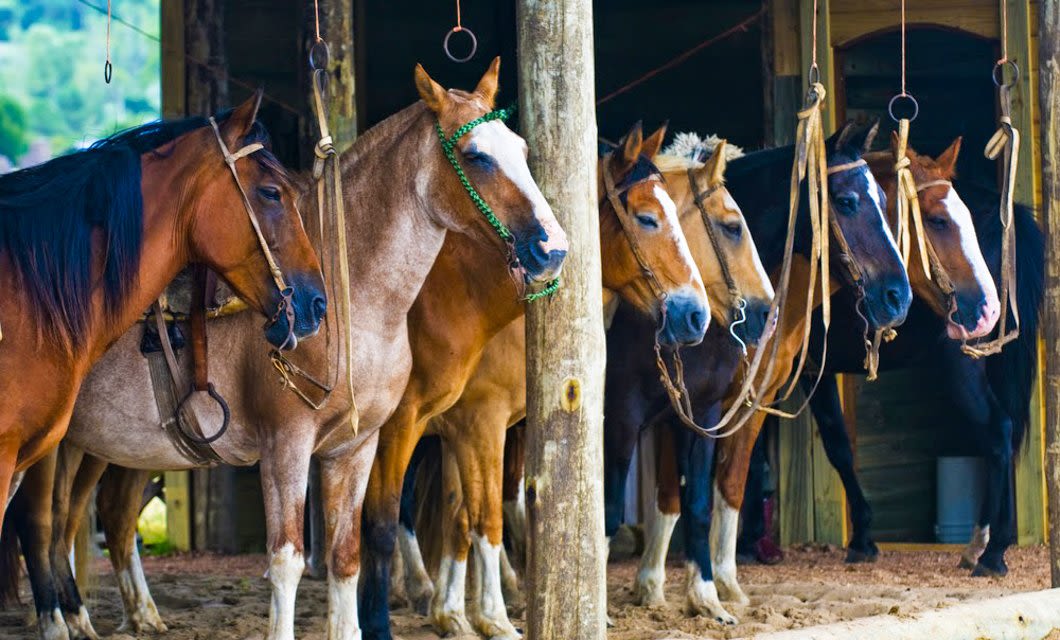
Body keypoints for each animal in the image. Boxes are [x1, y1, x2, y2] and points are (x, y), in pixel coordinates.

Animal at [1, 59, 568, 640]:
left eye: (522, 149)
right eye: (476, 155)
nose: (553, 249)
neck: (354, 302)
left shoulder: (356, 446)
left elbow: (347, 556)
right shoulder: (289, 446)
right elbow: (289, 559)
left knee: (81, 520)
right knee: (40, 525)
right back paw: (58, 621)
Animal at [397, 133, 772, 638]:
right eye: (732, 227)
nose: (766, 310)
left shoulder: (693, 415)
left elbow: (690, 503)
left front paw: (704, 599)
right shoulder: (611, 419)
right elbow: (599, 510)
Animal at [626, 135, 1004, 624]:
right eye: (937, 220)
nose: (988, 309)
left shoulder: (749, 400)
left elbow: (730, 484)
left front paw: (720, 583)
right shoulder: (686, 403)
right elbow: (676, 493)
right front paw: (657, 585)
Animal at [737, 176, 1042, 578]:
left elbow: (764, 448)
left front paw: (748, 540)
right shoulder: (809, 371)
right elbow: (836, 445)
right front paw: (863, 538)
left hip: (962, 362)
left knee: (998, 430)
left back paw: (992, 552)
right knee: (1005, 434)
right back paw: (982, 544)